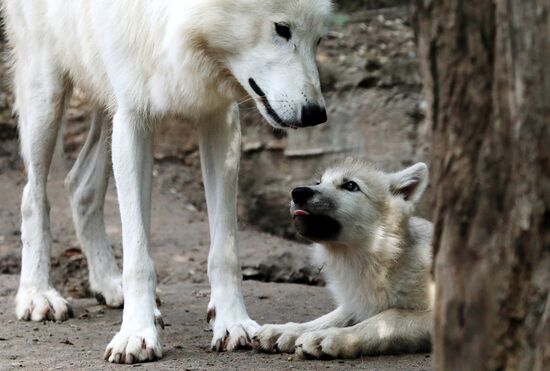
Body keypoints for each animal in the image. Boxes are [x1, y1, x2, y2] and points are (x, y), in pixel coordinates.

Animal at [1, 0, 332, 364]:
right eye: (281, 29)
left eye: (319, 39)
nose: (316, 114)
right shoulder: (132, 119)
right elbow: (138, 255)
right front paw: (136, 334)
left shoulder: (219, 118)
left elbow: (225, 251)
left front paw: (233, 324)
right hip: (46, 93)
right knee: (34, 195)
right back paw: (37, 295)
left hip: (104, 97)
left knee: (80, 185)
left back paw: (108, 284)